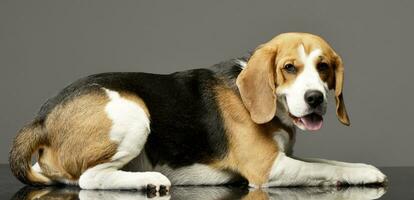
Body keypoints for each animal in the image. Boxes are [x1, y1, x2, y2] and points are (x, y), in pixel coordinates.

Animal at [8, 32, 384, 192]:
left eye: (323, 68)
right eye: (289, 68)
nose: (315, 98)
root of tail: (41, 118)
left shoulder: (282, 157)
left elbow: (328, 162)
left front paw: (364, 168)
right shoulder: (268, 168)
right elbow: (326, 168)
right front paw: (360, 174)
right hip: (134, 111)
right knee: (89, 179)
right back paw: (149, 181)